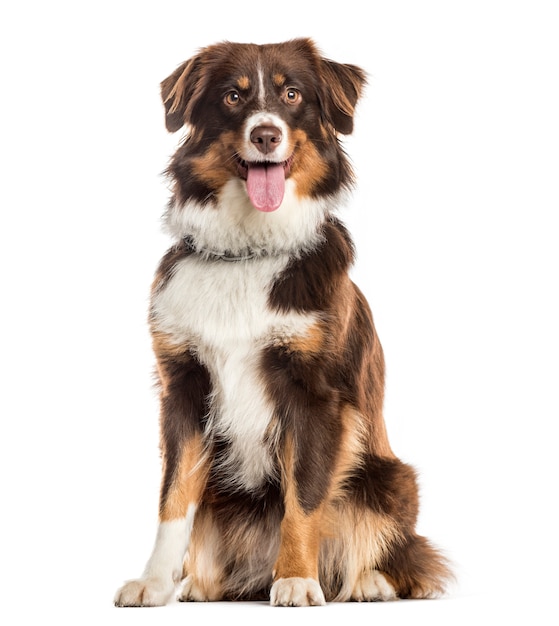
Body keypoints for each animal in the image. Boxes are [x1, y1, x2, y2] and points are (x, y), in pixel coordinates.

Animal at [114, 37, 450, 604]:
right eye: (232, 96)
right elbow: (173, 498)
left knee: (406, 552)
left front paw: (295, 577)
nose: (265, 134)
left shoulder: (316, 395)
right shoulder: (183, 386)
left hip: (390, 478)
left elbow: (305, 497)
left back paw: (369, 581)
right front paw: (154, 582)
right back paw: (201, 584)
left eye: (292, 94)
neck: (248, 249)